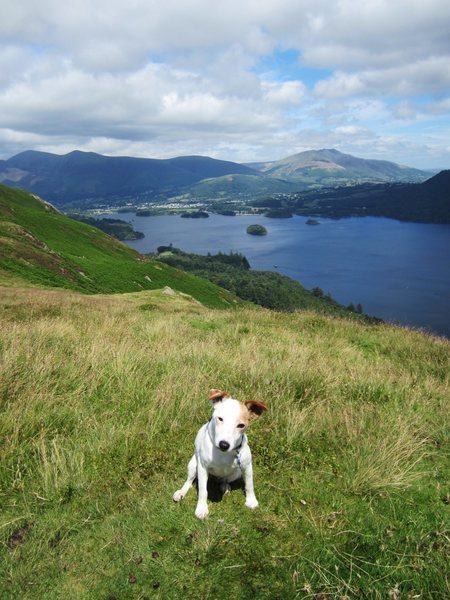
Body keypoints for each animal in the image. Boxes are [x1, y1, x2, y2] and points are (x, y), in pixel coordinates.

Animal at [173, 390, 268, 520]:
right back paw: (181, 492)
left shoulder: (247, 466)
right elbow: (203, 490)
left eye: (241, 425)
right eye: (220, 419)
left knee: (224, 480)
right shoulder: (202, 468)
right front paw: (201, 509)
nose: (224, 444)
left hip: (236, 473)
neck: (223, 454)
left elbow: (249, 484)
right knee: (188, 482)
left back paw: (225, 487)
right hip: (193, 465)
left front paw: (251, 501)